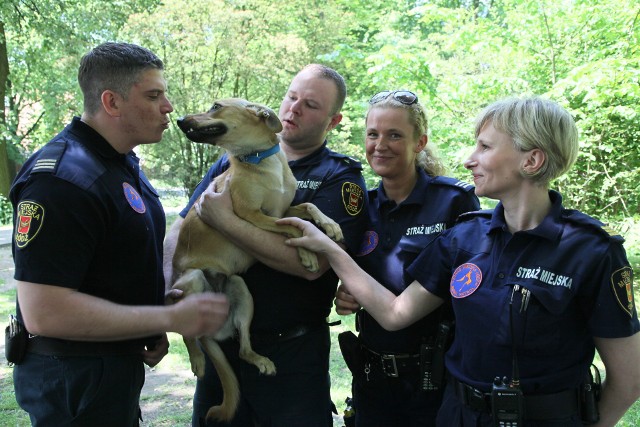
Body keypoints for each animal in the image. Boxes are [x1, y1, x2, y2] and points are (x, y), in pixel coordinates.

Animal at [169, 98, 340, 422]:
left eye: (215, 106)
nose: (181, 120)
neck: (261, 161)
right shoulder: (252, 215)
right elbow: (291, 230)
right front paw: (308, 254)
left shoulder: (281, 209)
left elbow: (307, 210)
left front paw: (331, 225)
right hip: (192, 280)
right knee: (186, 331)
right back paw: (197, 358)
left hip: (241, 290)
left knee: (242, 350)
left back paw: (260, 360)